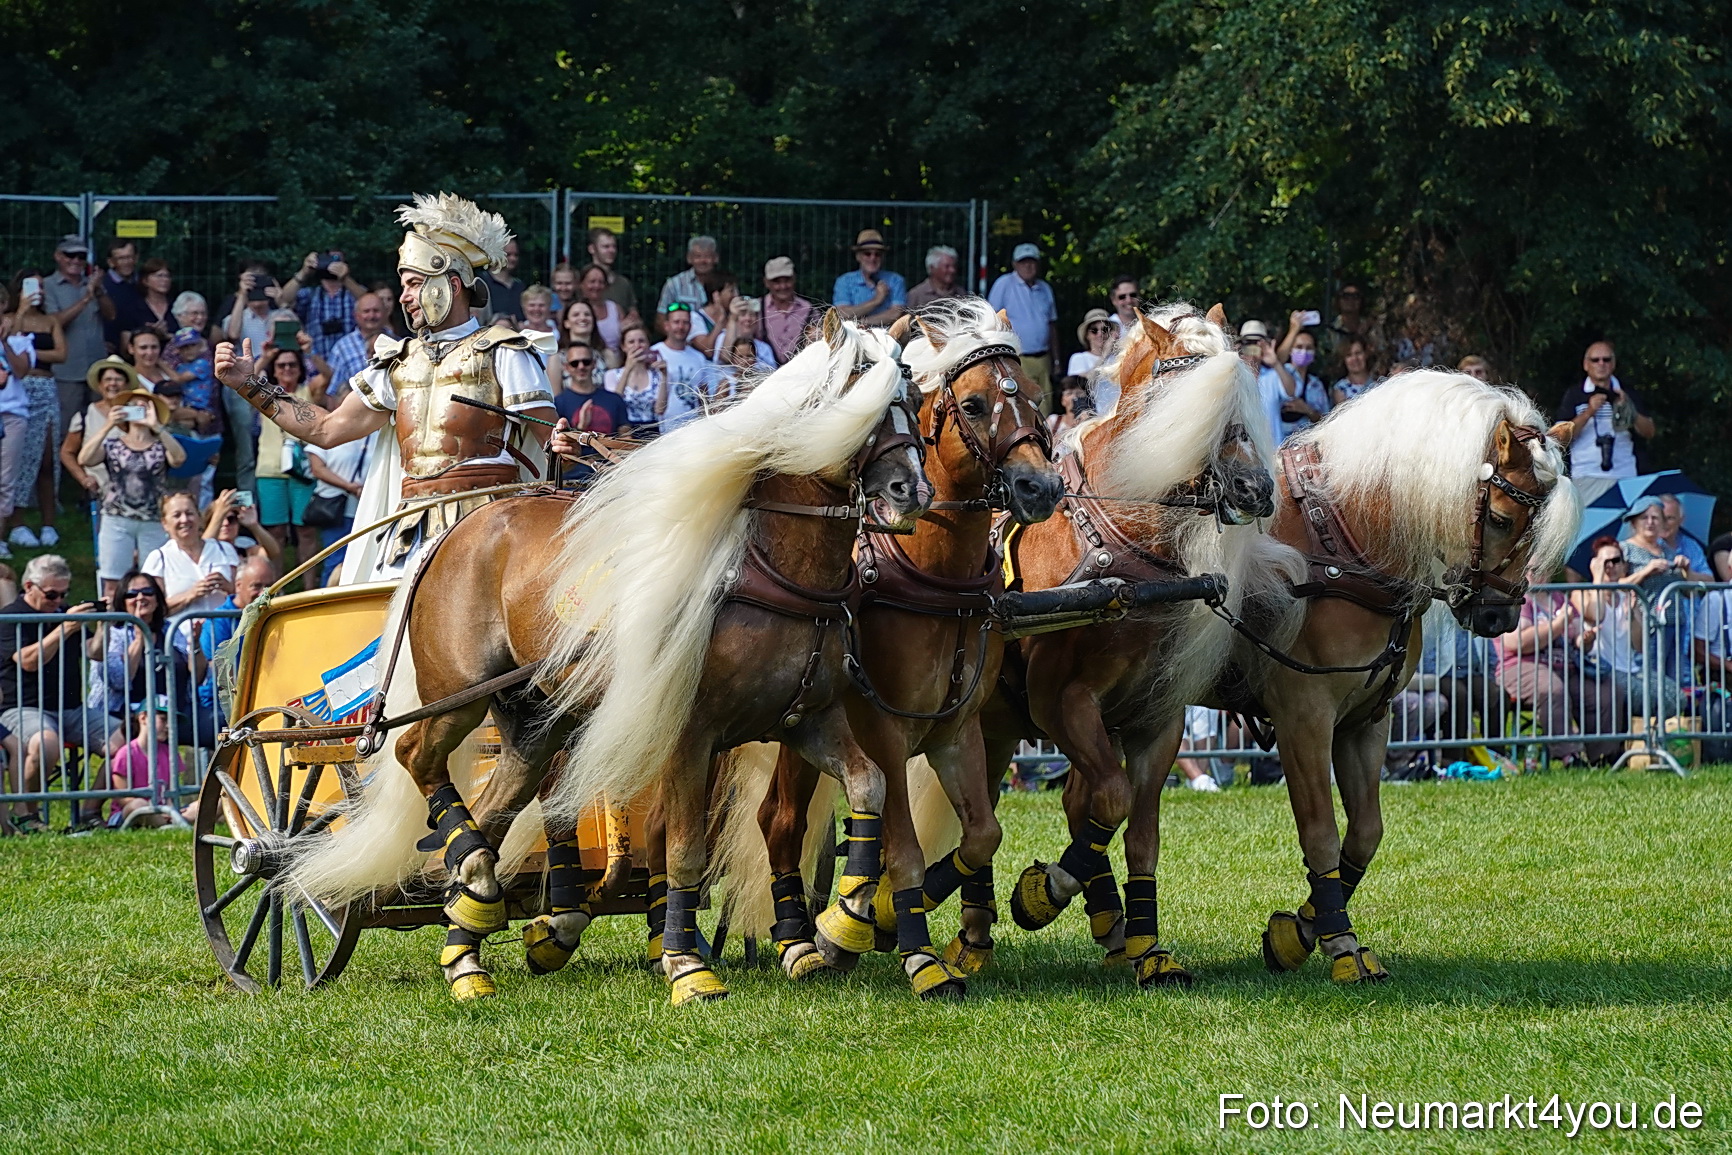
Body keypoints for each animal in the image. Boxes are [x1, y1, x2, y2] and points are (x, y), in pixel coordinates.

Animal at [277, 317, 933, 1004]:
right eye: (858, 400)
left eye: (913, 400)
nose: (911, 490)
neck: (769, 565)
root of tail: (454, 532)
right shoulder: (691, 735)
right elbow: (685, 853)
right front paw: (687, 966)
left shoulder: (810, 720)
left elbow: (869, 785)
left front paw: (847, 917)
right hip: (458, 694)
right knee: (417, 757)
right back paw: (473, 883)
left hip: (534, 721)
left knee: (499, 807)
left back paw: (467, 945)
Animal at [716, 299, 1064, 1000]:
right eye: (975, 404)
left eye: (1034, 396)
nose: (1040, 488)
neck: (935, 575)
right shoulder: (884, 730)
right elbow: (901, 848)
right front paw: (912, 954)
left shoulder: (958, 730)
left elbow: (982, 835)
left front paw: (870, 916)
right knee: (780, 821)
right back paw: (801, 938)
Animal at [901, 303, 1280, 988]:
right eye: (1188, 403)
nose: (1253, 490)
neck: (1123, 549)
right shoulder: (1063, 702)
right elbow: (1109, 796)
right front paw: (1044, 893)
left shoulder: (1157, 719)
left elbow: (1138, 828)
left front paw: (1146, 945)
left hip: (996, 727)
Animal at [1198, 371, 1578, 983]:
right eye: (1500, 519)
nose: (1499, 617)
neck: (1339, 542)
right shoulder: (1303, 717)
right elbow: (1321, 832)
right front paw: (1340, 941)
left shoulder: (1365, 721)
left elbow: (1364, 833)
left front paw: (1299, 931)